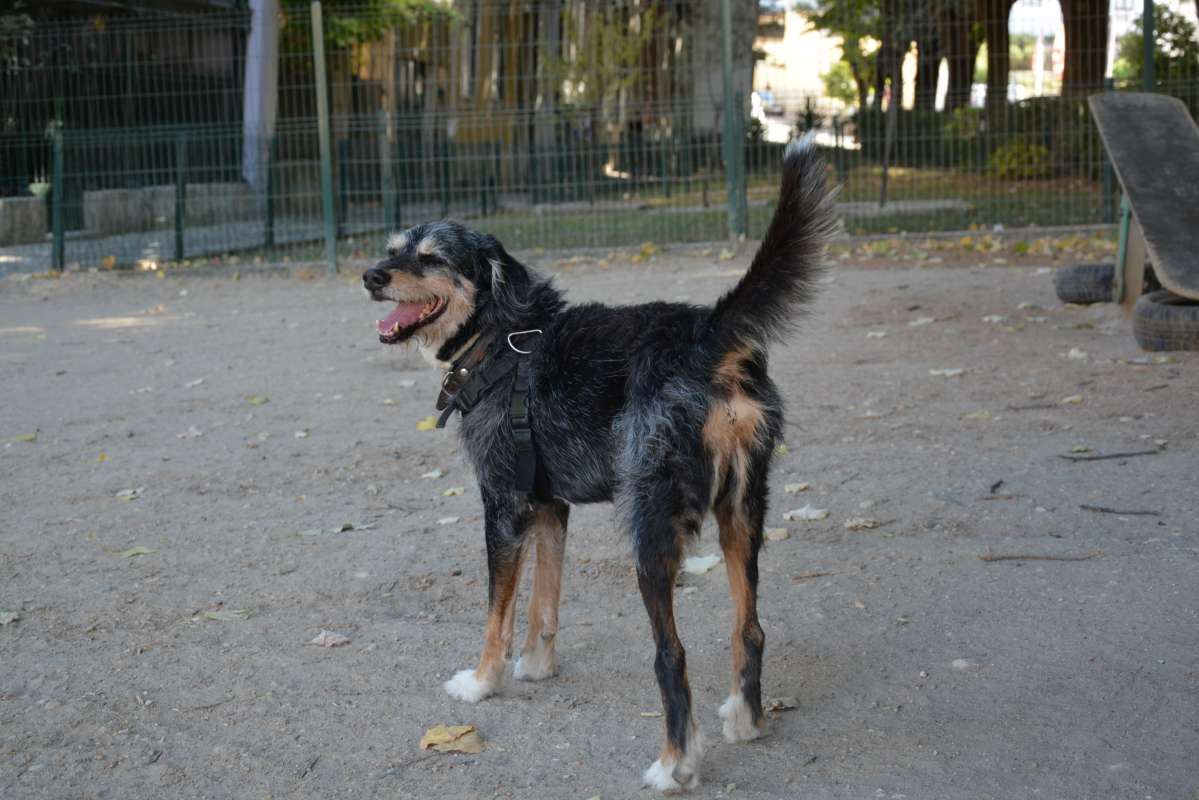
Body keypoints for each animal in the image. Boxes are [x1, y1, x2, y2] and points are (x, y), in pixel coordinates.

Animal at [359, 136, 839, 786]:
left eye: (431, 258)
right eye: (393, 251)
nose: (370, 276)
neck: (503, 339)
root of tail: (707, 336)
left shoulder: (503, 506)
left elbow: (497, 614)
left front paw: (484, 682)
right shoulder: (548, 506)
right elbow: (545, 600)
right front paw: (537, 667)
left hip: (651, 528)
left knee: (671, 654)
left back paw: (674, 764)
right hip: (742, 512)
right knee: (750, 627)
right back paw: (744, 718)